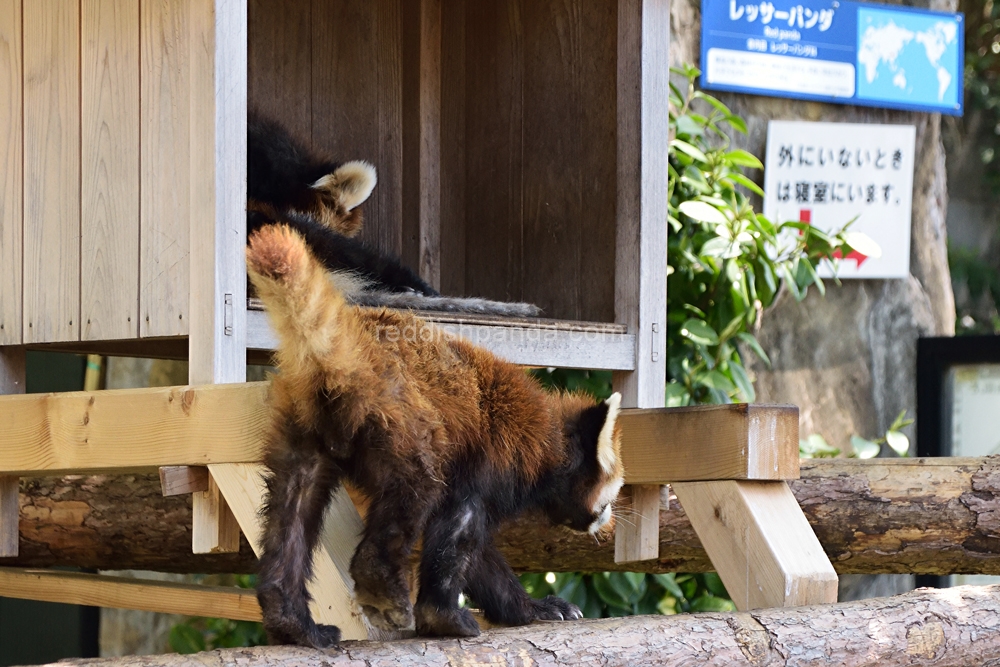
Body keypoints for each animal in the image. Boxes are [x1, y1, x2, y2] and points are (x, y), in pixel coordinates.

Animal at [248, 224, 624, 648]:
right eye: (613, 491)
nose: (609, 518)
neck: (547, 440)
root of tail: (351, 342)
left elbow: (481, 559)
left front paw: (533, 609)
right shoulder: (490, 463)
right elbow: (458, 533)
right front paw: (443, 616)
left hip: (306, 429)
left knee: (293, 507)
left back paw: (293, 622)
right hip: (403, 420)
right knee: (414, 489)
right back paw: (382, 589)